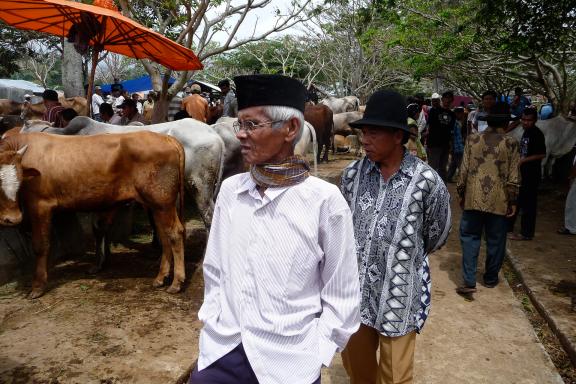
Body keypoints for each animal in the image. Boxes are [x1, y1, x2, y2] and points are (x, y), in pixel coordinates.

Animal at [0, 130, 184, 298]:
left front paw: (37, 286)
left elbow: (40, 245)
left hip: (162, 202)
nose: (12, 219)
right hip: (156, 205)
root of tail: (167, 138)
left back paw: (176, 282)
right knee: (164, 235)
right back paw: (160, 278)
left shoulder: (40, 205)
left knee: (175, 233)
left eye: (19, 180)